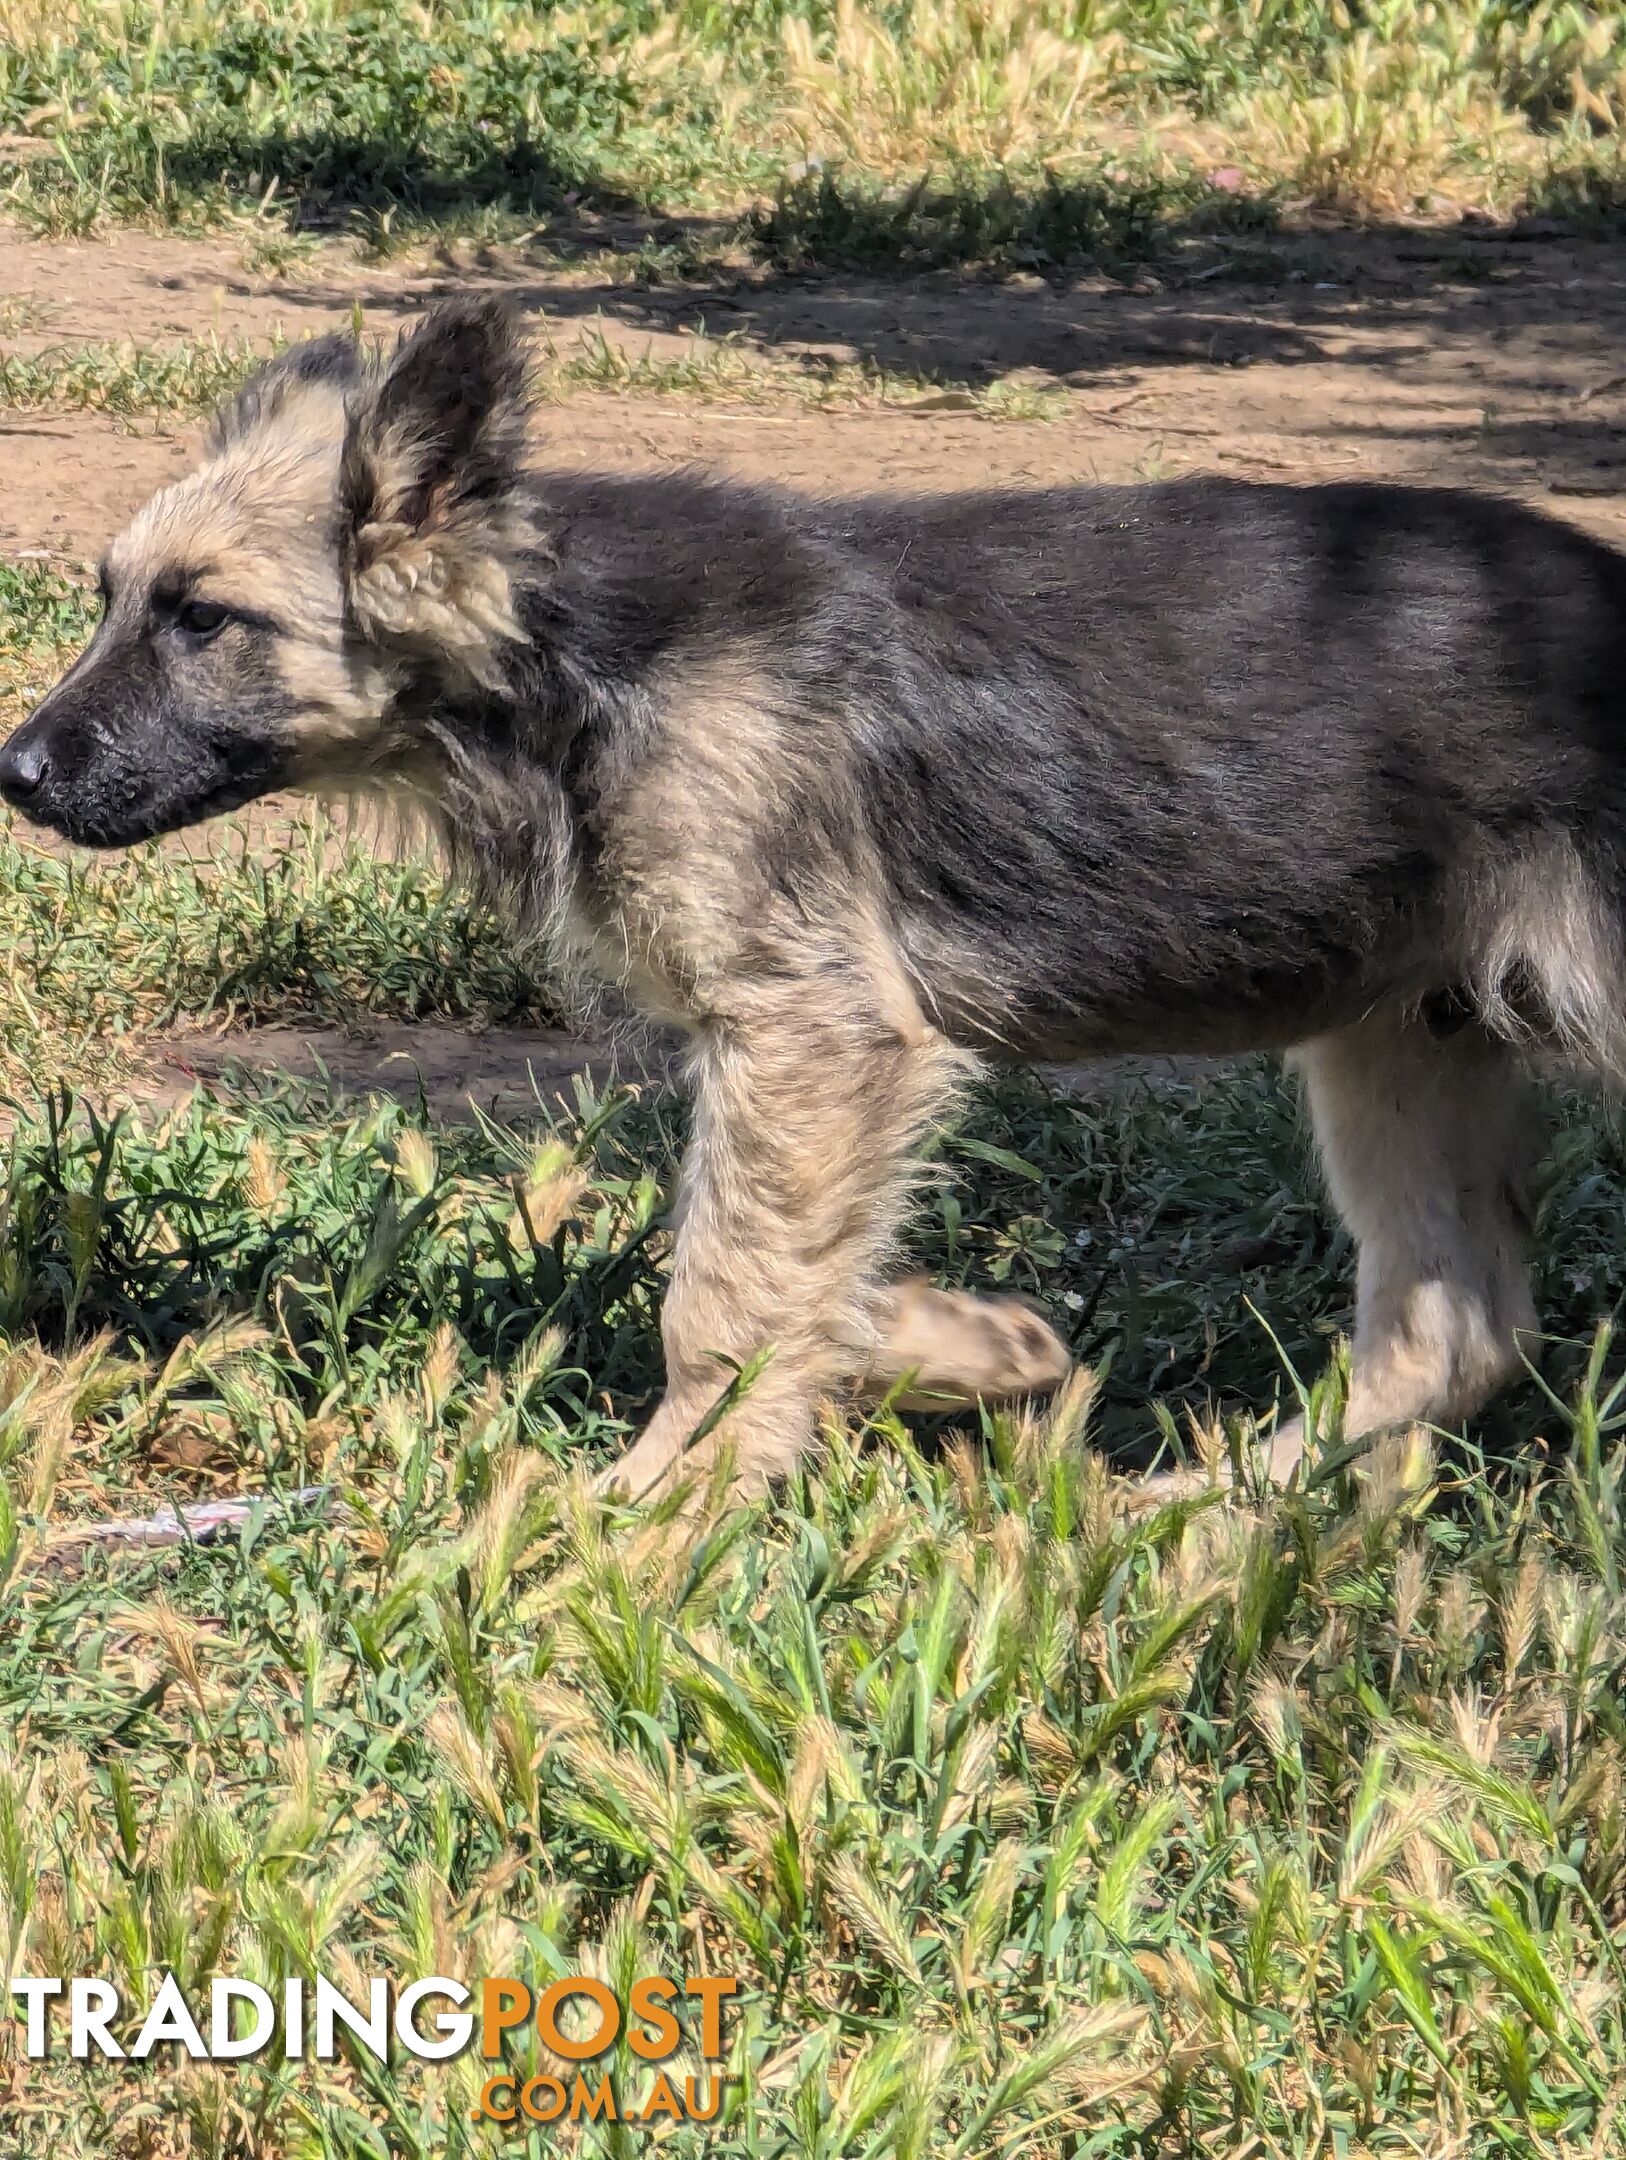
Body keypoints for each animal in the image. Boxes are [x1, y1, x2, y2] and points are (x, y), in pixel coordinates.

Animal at [6, 295, 1615, 1494]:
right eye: (107, 601)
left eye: (203, 620)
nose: (15, 773)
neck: (577, 654)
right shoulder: (805, 1057)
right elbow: (787, 1278)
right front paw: (962, 1345)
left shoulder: (811, 1029)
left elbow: (716, 1297)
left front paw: (657, 1510)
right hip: (1406, 1029)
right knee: (1452, 1330)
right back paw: (1210, 1513)